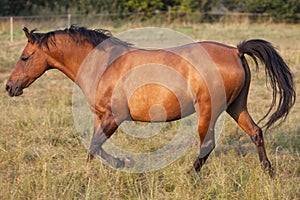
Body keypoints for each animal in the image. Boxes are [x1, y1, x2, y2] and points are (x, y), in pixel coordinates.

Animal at [5, 25, 296, 175]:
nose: (9, 87)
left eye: (24, 57)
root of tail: (236, 51)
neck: (103, 64)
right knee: (256, 132)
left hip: (208, 110)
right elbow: (93, 147)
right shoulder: (101, 117)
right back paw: (268, 171)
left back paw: (190, 174)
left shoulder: (114, 117)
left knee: (208, 143)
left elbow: (95, 146)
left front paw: (123, 163)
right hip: (237, 106)